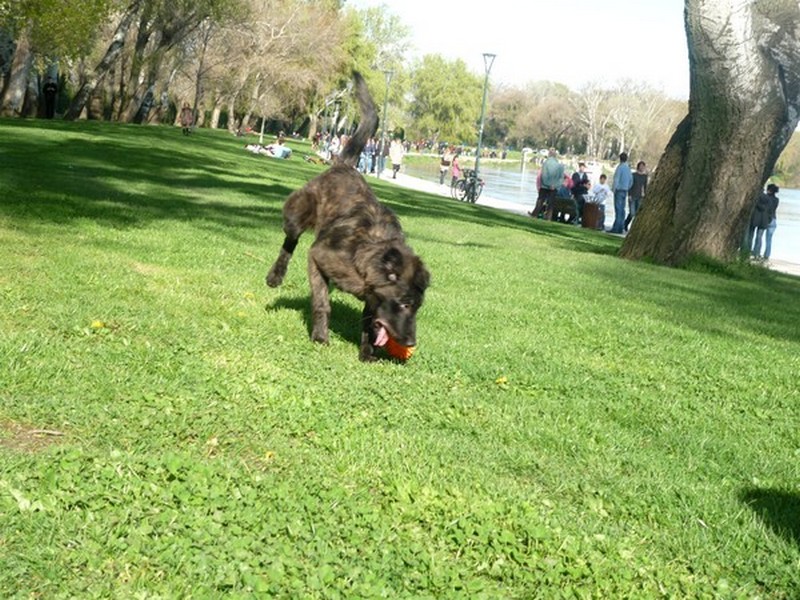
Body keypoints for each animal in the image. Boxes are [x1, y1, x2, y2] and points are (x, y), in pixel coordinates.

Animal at [268, 70, 432, 360]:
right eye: (404, 304)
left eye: (417, 306)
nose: (411, 342)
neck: (369, 253)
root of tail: (344, 166)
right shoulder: (318, 257)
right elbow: (322, 303)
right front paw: (320, 336)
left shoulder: (372, 298)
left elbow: (369, 322)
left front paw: (366, 352)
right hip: (297, 214)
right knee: (290, 241)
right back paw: (275, 275)